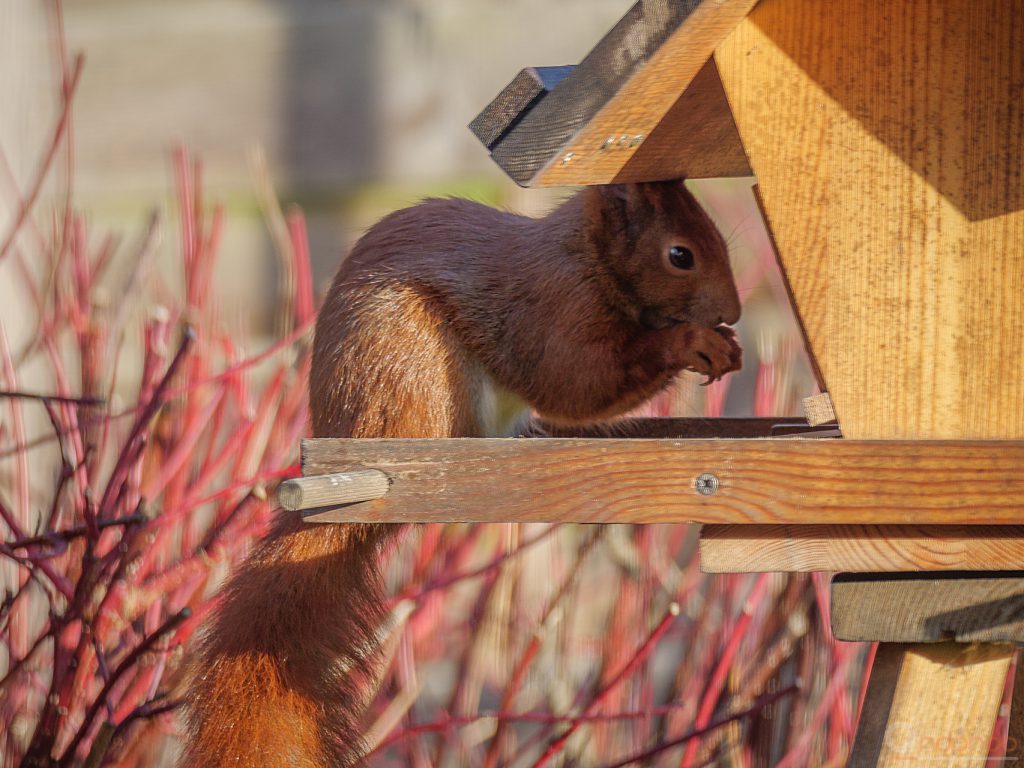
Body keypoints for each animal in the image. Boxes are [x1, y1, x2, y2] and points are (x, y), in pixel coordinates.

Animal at [184, 182, 741, 768]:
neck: (588, 259)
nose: (731, 311)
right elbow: (574, 379)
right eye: (680, 255)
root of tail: (345, 451)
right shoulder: (552, 307)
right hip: (415, 369)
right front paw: (691, 342)